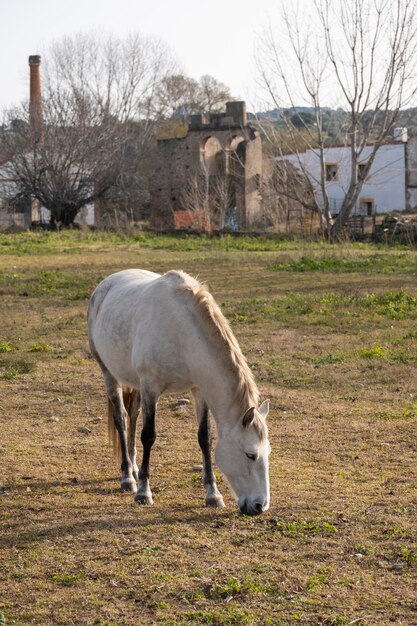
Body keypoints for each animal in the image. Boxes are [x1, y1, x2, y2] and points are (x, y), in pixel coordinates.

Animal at [87, 266, 270, 516]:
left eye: (268, 452)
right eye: (250, 454)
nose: (260, 506)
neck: (181, 333)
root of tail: (105, 285)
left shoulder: (198, 389)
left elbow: (205, 438)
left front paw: (213, 494)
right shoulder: (151, 387)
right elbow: (149, 436)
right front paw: (143, 492)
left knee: (132, 415)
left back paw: (133, 468)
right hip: (109, 374)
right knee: (122, 418)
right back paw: (128, 477)